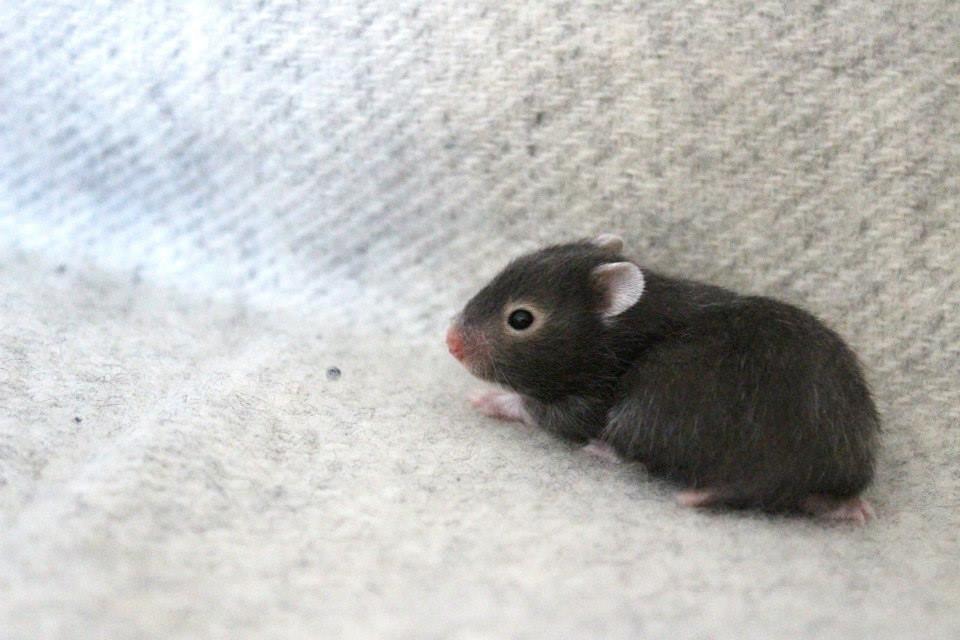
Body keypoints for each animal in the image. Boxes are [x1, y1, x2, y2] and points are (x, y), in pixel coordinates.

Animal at [446, 234, 879, 524]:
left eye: (520, 319)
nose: (450, 341)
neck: (635, 312)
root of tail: (780, 472)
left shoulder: (591, 397)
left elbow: (544, 413)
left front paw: (490, 399)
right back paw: (844, 506)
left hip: (648, 407)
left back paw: (605, 451)